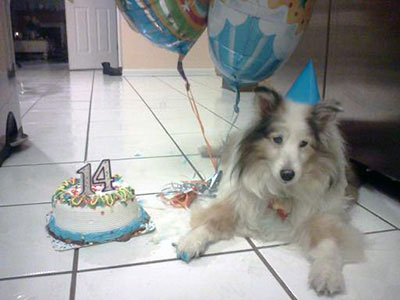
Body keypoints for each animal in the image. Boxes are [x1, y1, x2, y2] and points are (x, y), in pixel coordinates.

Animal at [177, 85, 364, 296]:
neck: (281, 190)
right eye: (277, 139)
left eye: (304, 143)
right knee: (227, 144)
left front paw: (327, 274)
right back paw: (207, 149)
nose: (287, 174)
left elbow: (329, 244)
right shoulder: (237, 201)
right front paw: (190, 241)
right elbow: (210, 221)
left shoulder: (324, 215)